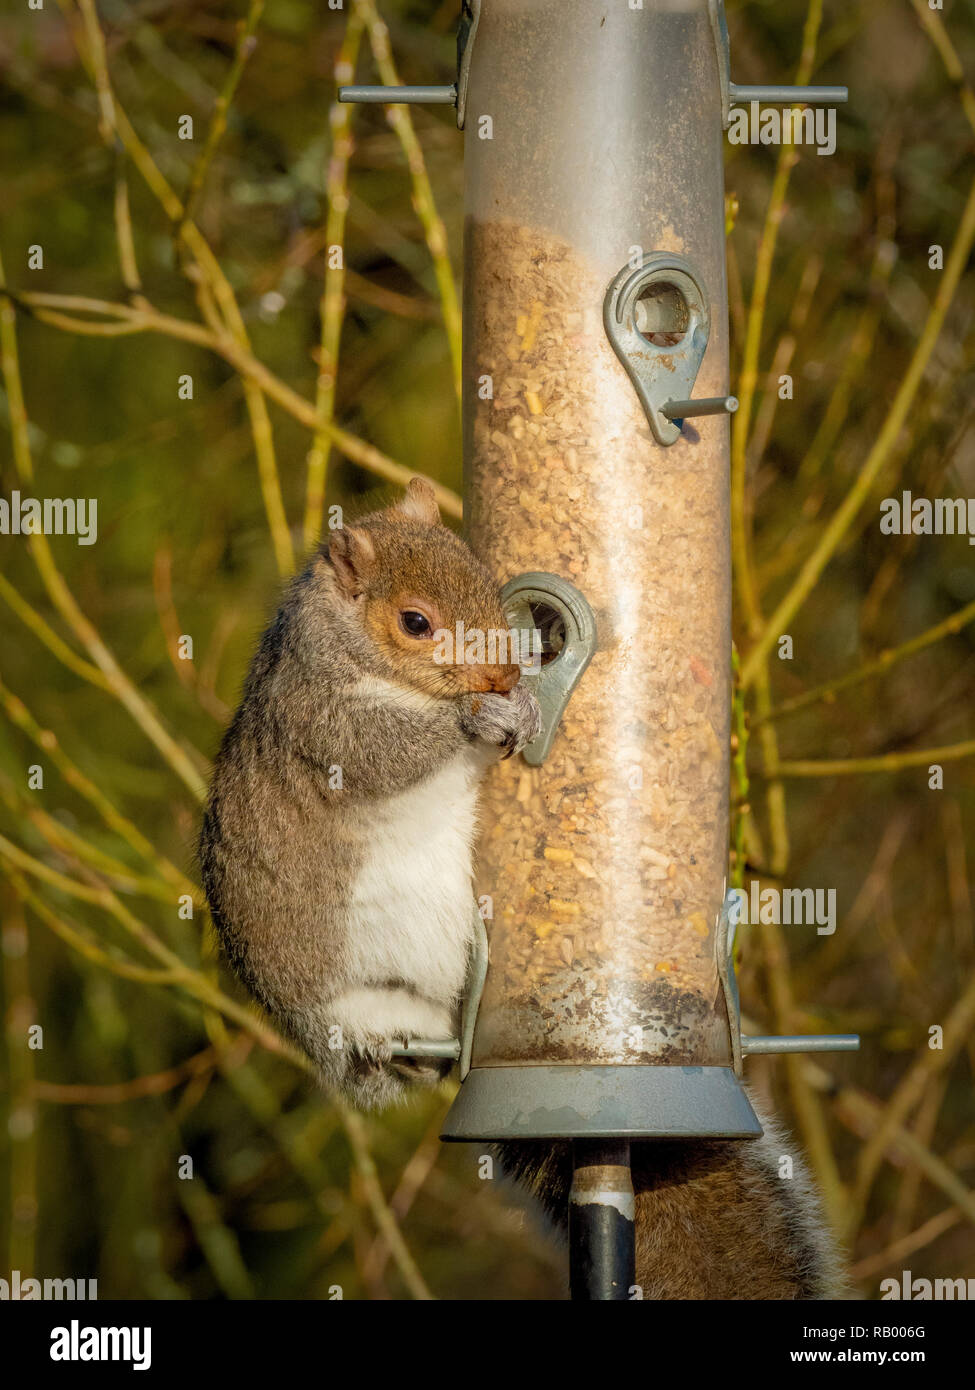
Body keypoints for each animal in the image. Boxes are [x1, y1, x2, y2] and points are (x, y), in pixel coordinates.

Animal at [200, 477, 843, 1299]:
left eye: (486, 581)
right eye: (414, 623)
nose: (506, 675)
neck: (353, 653)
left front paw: (517, 704)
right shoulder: (325, 727)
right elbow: (394, 750)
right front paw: (483, 717)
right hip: (352, 992)